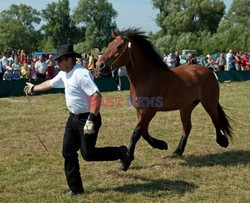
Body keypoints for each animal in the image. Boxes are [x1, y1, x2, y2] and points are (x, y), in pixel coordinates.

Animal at [95, 28, 232, 171]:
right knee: (187, 127)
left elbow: (136, 133)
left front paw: (125, 162)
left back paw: (222, 141)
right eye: (109, 45)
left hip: (209, 103)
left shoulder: (149, 111)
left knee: (215, 120)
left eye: (119, 46)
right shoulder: (140, 111)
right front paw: (161, 145)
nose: (100, 65)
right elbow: (144, 132)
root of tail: (208, 71)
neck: (145, 77)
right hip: (186, 107)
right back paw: (177, 151)